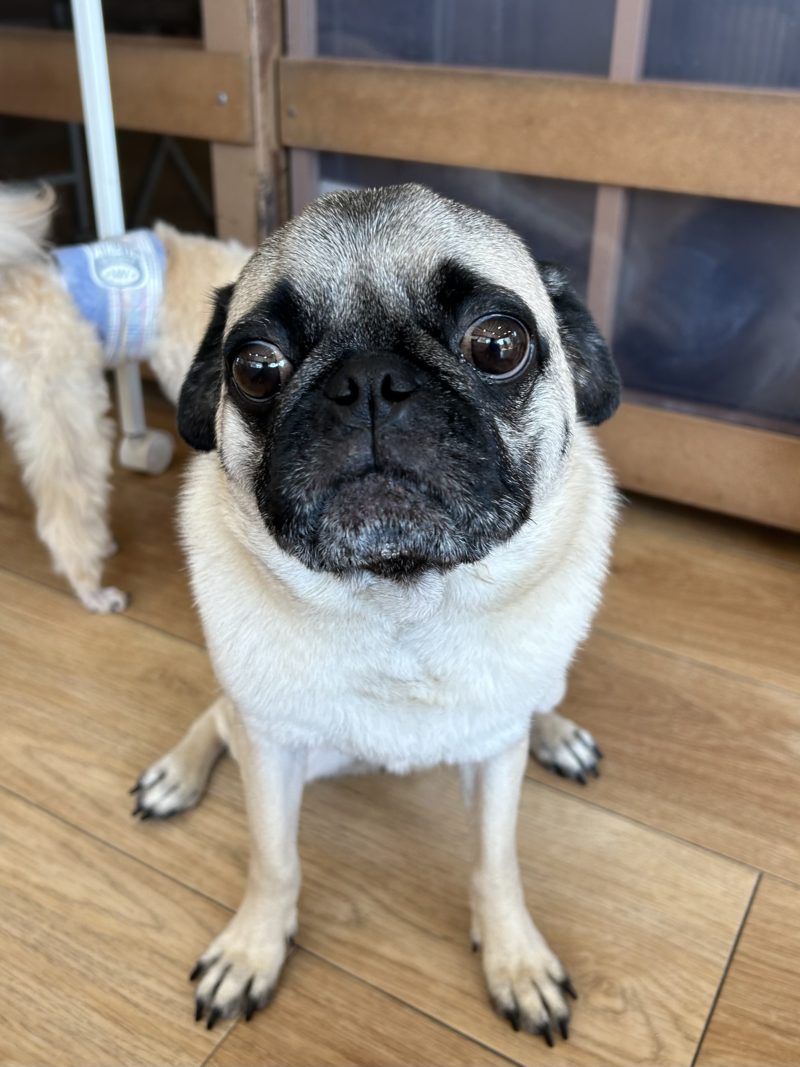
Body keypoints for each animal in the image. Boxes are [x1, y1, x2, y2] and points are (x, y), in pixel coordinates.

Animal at [132, 184, 620, 1044]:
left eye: (499, 344)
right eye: (255, 368)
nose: (369, 382)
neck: (400, 604)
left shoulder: (495, 752)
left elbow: (496, 861)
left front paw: (515, 958)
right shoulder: (272, 746)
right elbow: (274, 859)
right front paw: (253, 946)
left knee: (539, 703)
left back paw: (557, 734)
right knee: (214, 715)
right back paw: (176, 774)